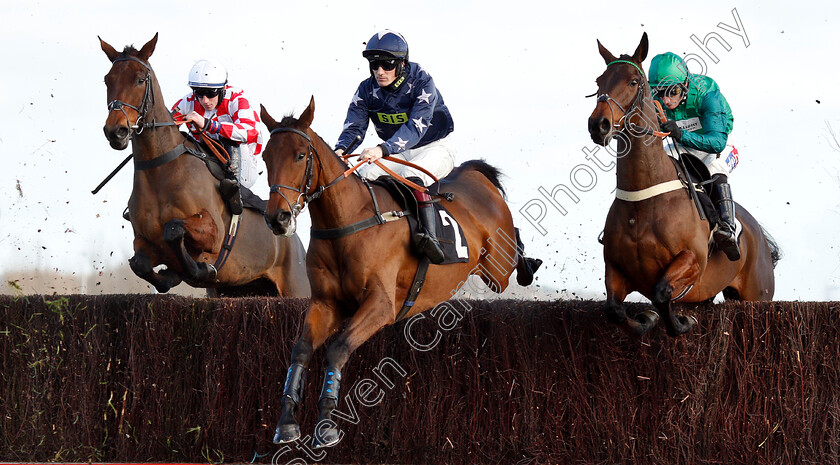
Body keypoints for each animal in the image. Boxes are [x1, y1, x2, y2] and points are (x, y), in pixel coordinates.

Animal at [99, 35, 308, 298]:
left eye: (139, 79)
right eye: (108, 80)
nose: (115, 131)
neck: (161, 169)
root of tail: (295, 240)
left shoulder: (213, 232)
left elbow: (174, 229)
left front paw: (198, 268)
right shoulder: (143, 242)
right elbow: (139, 263)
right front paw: (170, 275)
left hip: (297, 287)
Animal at [260, 97, 540, 446]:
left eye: (300, 155)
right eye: (265, 156)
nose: (278, 218)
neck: (347, 222)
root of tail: (475, 175)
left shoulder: (381, 306)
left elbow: (338, 349)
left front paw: (326, 425)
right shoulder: (326, 303)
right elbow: (300, 351)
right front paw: (286, 423)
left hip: (497, 269)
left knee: (513, 247)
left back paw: (530, 266)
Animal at [588, 33, 776, 338]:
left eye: (633, 81)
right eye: (598, 81)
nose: (599, 124)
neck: (643, 202)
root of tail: (759, 233)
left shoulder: (692, 262)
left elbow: (662, 293)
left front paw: (682, 322)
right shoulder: (615, 268)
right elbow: (615, 309)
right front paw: (646, 320)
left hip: (758, 295)